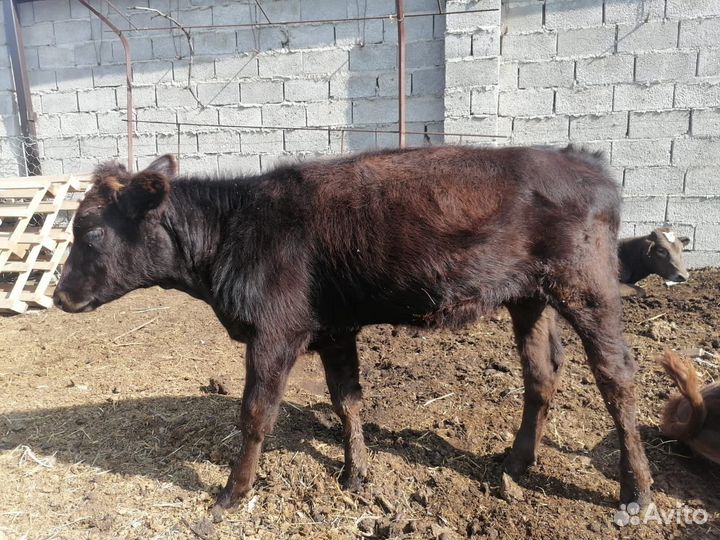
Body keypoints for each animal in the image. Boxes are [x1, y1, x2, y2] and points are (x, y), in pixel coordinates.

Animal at [53, 145, 653, 514]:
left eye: (93, 232)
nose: (60, 296)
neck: (232, 232)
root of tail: (585, 161)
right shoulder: (334, 329)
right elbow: (348, 402)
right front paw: (355, 474)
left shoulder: (275, 332)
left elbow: (255, 415)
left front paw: (233, 492)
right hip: (529, 297)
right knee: (541, 372)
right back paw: (516, 462)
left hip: (588, 287)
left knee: (617, 377)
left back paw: (636, 490)